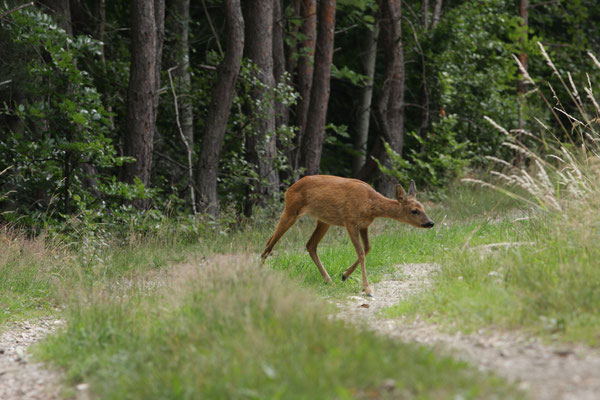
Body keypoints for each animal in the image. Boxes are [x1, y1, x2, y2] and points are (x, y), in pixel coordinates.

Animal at [260, 176, 434, 296]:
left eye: (423, 207)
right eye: (414, 210)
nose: (430, 223)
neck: (371, 204)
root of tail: (289, 189)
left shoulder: (364, 225)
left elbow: (368, 248)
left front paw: (344, 275)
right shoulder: (350, 221)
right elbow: (361, 252)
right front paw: (367, 289)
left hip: (324, 220)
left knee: (310, 245)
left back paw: (329, 281)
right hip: (291, 209)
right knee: (269, 244)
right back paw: (260, 275)